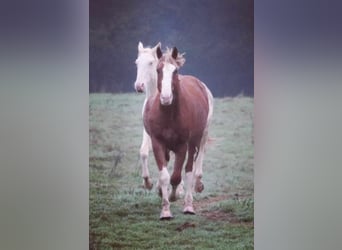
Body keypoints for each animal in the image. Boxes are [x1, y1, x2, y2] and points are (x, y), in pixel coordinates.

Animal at [143, 47, 212, 219]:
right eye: (158, 70)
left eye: (175, 71)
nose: (166, 97)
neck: (169, 114)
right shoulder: (157, 142)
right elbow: (165, 176)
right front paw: (165, 210)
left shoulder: (182, 145)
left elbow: (176, 176)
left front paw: (174, 196)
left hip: (196, 140)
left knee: (188, 170)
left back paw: (188, 205)